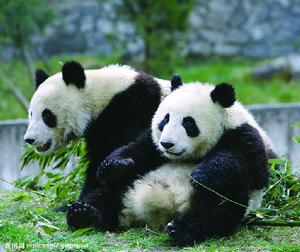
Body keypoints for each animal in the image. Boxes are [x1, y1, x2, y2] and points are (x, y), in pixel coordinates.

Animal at [98, 79, 270, 246]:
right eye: (165, 119)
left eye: (188, 123)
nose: (167, 144)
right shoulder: (153, 144)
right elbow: (137, 149)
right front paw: (116, 165)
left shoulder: (243, 135)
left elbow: (248, 168)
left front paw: (201, 175)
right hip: (131, 183)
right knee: (109, 187)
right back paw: (93, 212)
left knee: (216, 206)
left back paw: (180, 231)